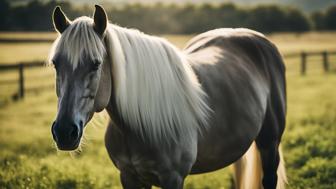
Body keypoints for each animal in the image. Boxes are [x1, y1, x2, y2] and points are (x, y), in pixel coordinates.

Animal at [49, 5, 286, 188]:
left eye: (96, 64)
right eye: (55, 64)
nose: (64, 132)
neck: (137, 127)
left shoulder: (172, 178)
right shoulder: (129, 176)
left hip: (270, 143)